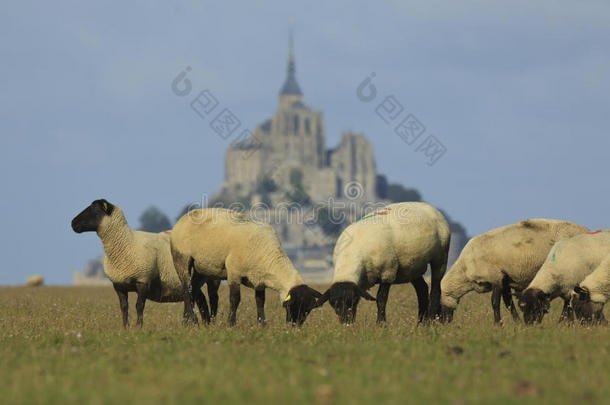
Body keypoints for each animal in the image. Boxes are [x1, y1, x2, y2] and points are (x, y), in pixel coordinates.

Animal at [71, 200, 218, 328]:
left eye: (95, 211)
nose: (72, 223)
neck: (125, 244)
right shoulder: (118, 285)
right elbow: (124, 307)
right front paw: (125, 328)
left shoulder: (143, 280)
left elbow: (139, 306)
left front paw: (138, 327)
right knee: (201, 300)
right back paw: (204, 324)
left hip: (211, 276)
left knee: (212, 299)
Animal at [166, 208, 318, 326]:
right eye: (295, 304)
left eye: (308, 310)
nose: (295, 326)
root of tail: (184, 216)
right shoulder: (234, 272)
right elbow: (235, 299)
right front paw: (231, 324)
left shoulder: (259, 280)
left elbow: (260, 301)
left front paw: (262, 324)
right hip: (181, 258)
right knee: (187, 289)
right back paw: (192, 320)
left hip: (202, 268)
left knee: (195, 289)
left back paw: (190, 321)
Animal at [314, 202, 446, 326]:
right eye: (333, 305)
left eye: (353, 300)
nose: (346, 323)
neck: (350, 255)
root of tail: (427, 206)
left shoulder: (388, 272)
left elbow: (381, 299)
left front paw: (381, 324)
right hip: (412, 266)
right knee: (422, 290)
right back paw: (420, 324)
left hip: (440, 257)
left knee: (435, 289)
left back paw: (431, 321)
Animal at [440, 218, 588, 322]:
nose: (442, 323)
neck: (464, 271)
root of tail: (585, 230)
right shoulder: (505, 279)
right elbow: (508, 303)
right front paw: (517, 323)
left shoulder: (496, 277)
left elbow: (495, 303)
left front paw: (498, 324)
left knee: (568, 298)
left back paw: (563, 321)